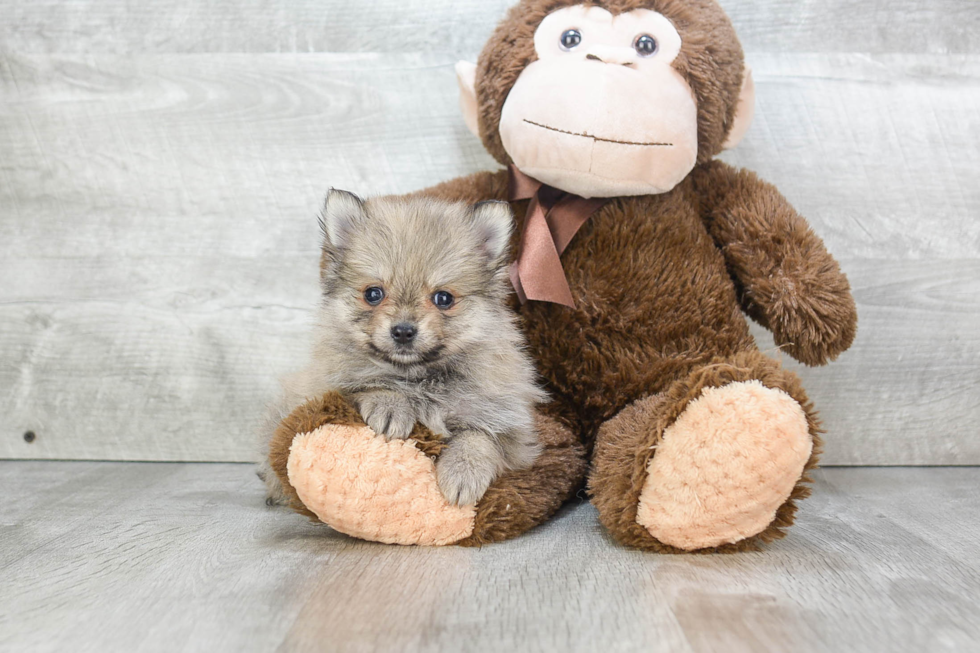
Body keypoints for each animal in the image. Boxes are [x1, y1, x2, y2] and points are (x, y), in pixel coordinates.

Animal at [260, 188, 548, 504]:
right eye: (373, 294)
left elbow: (480, 437)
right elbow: (368, 384)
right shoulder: (324, 387)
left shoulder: (509, 426)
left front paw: (463, 472)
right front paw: (391, 405)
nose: (403, 331)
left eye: (443, 298)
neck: (418, 378)